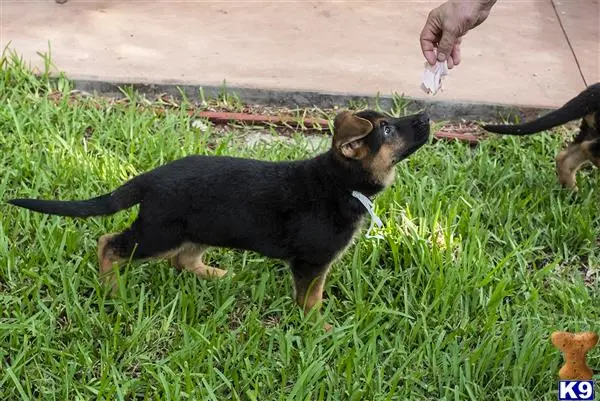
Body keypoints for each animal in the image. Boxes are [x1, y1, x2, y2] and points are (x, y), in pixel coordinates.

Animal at [9, 108, 432, 328]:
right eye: (388, 129)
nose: (426, 115)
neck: (340, 181)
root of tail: (151, 177)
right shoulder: (312, 262)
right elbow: (310, 298)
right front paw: (318, 326)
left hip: (199, 229)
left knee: (183, 260)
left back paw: (214, 274)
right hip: (159, 233)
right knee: (109, 244)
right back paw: (113, 290)